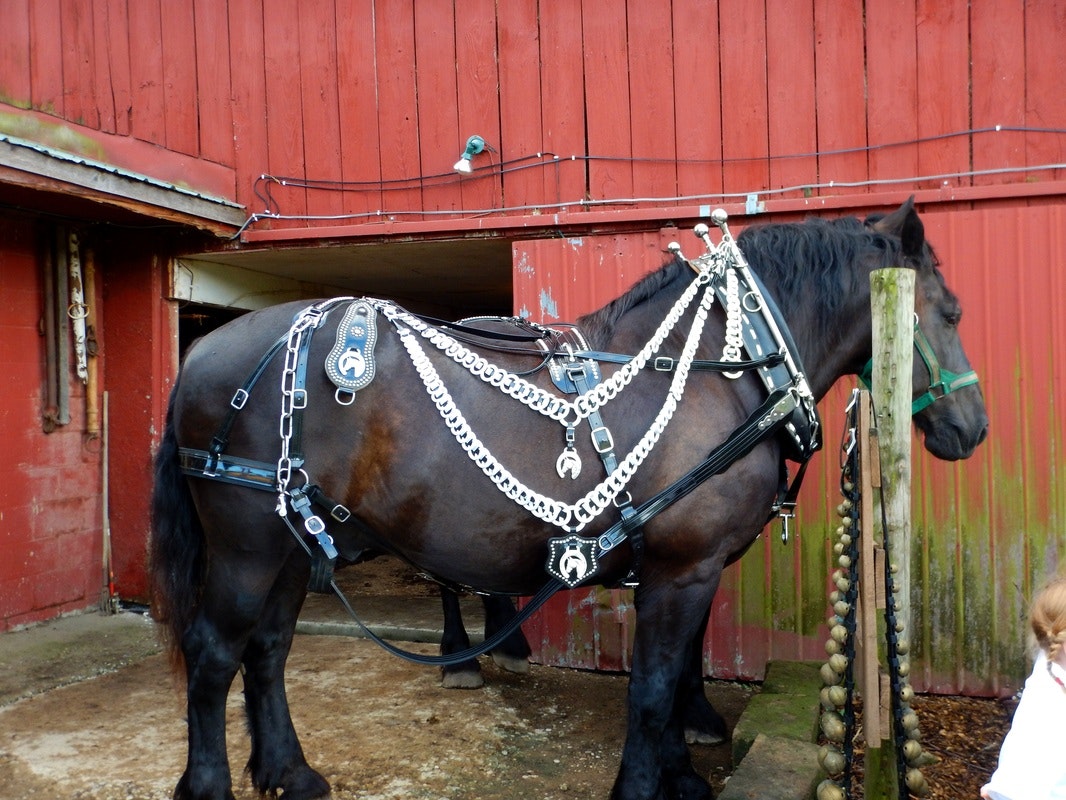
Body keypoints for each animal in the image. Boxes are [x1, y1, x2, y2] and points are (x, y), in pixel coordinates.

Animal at [150, 198, 987, 800]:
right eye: (950, 313)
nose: (972, 428)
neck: (727, 370)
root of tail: (205, 351)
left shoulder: (683, 568)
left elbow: (674, 675)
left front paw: (682, 770)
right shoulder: (685, 568)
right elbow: (652, 688)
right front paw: (645, 784)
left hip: (296, 542)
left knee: (268, 650)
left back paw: (289, 773)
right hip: (247, 546)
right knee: (215, 653)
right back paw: (209, 785)